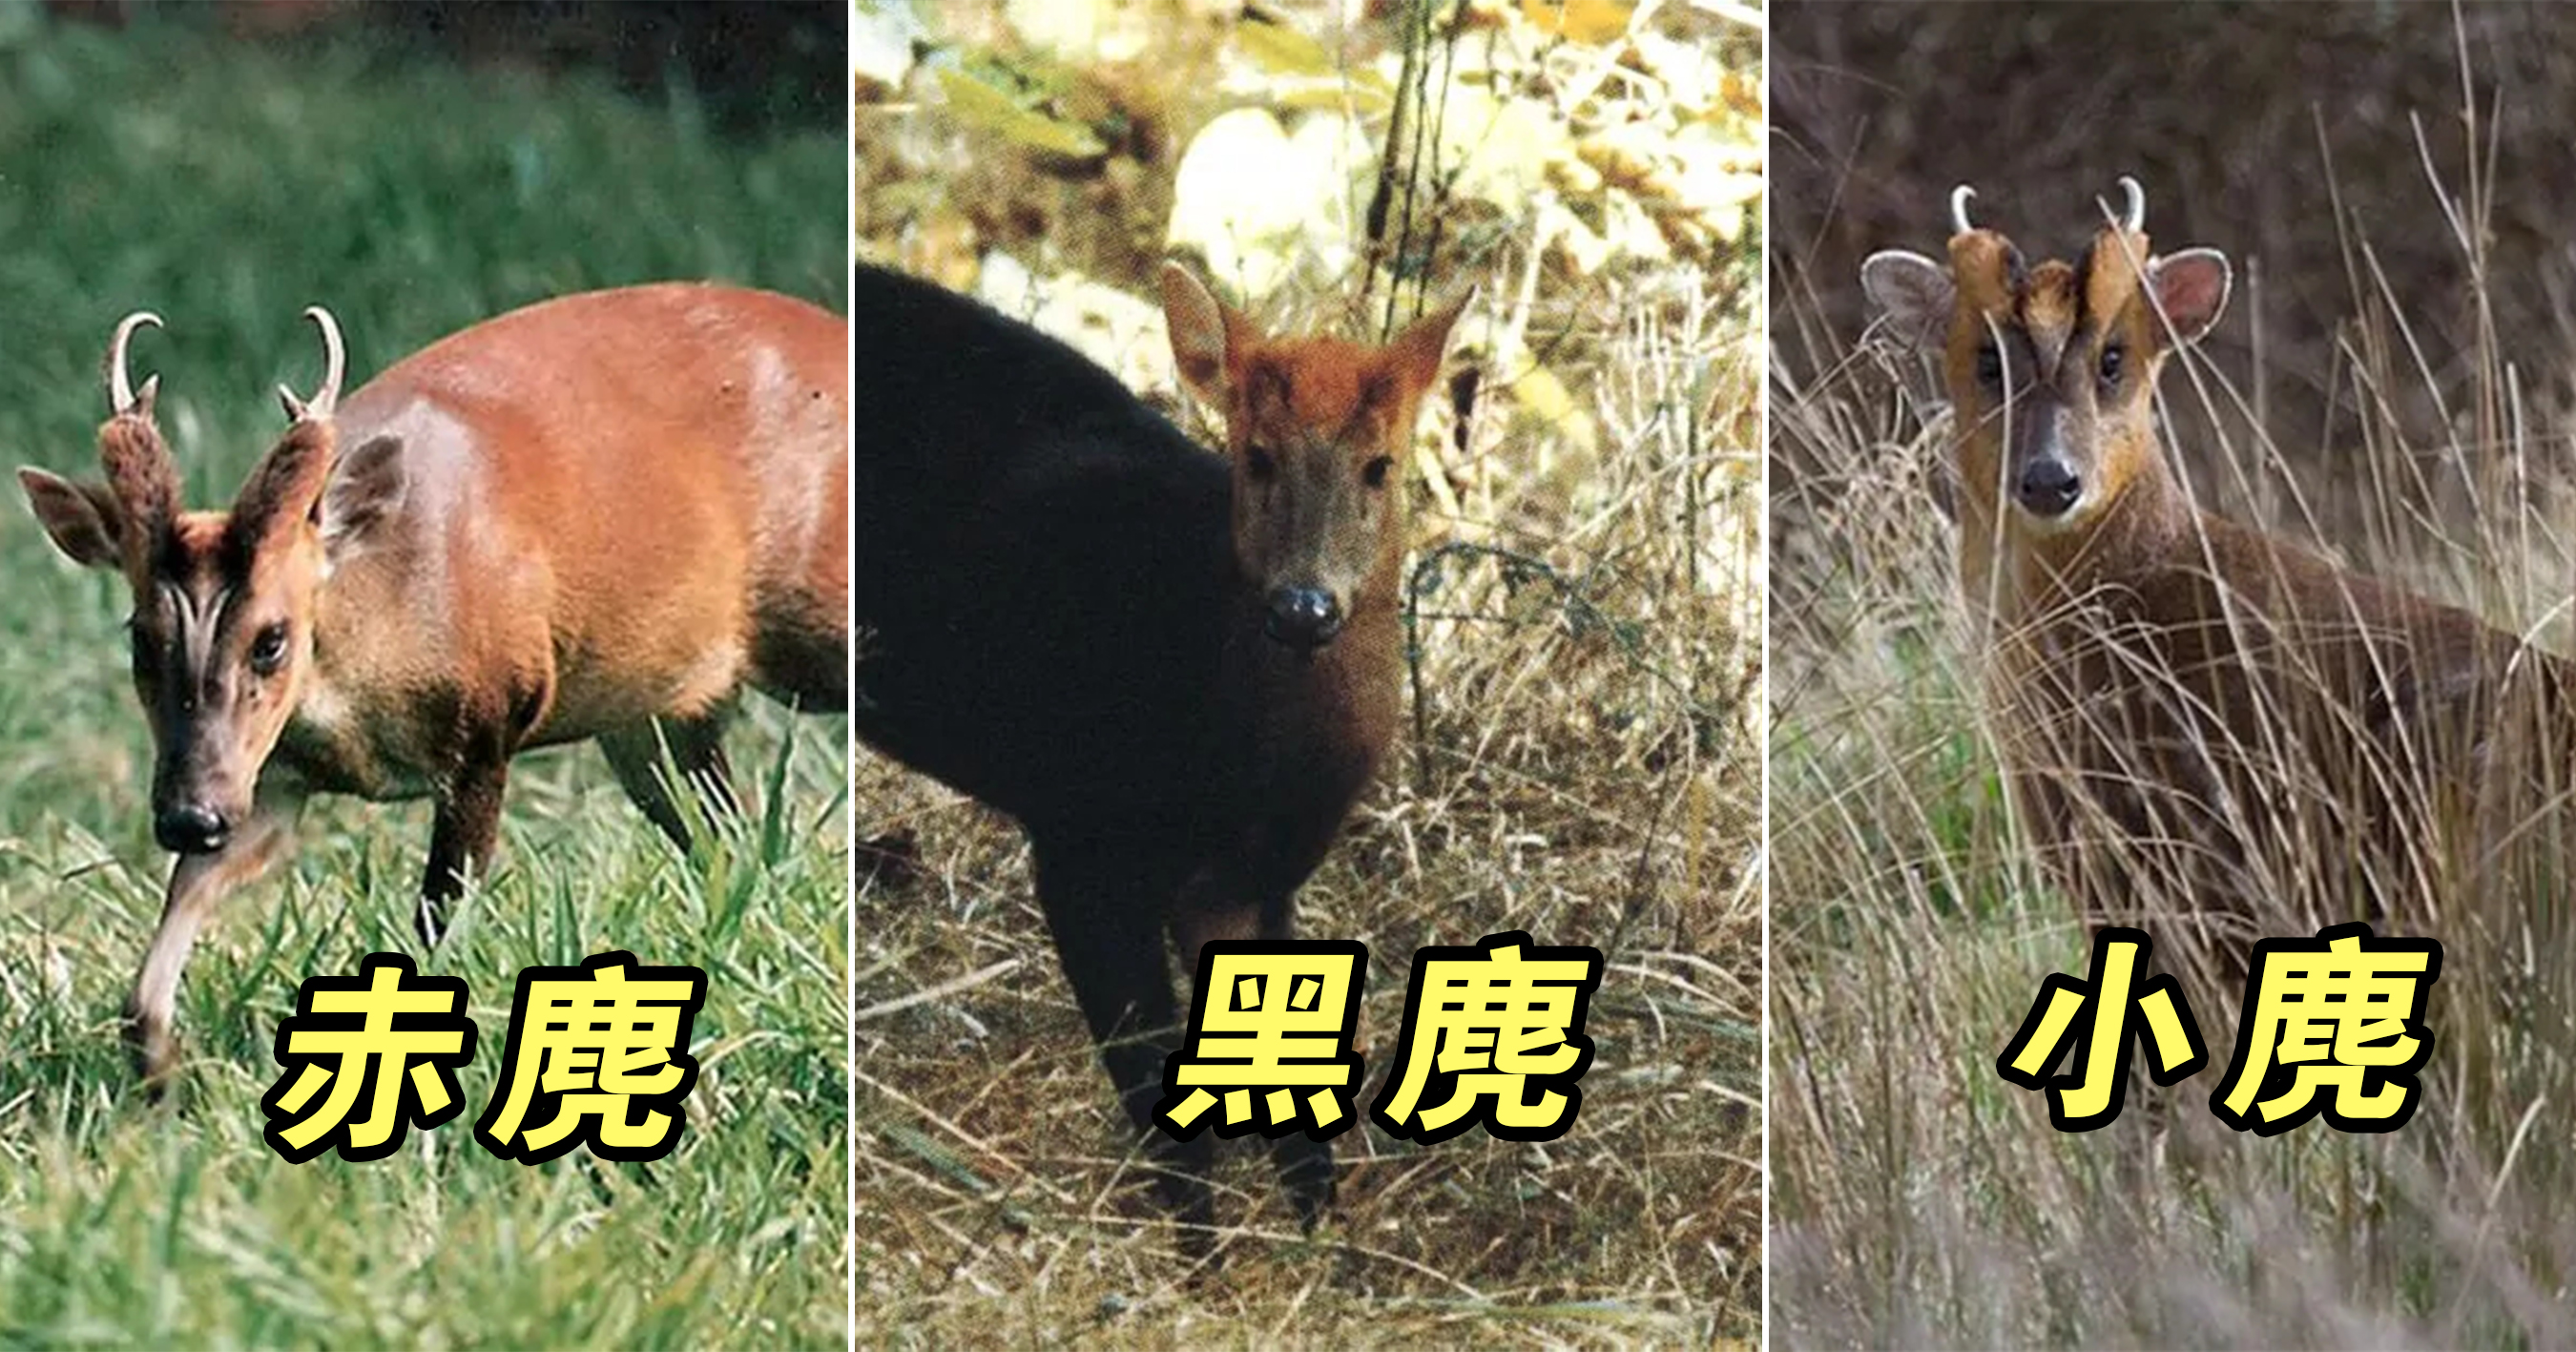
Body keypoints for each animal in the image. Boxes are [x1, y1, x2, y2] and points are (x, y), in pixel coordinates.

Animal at [20, 284, 849, 1087]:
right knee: (731, 841)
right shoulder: (274, 777)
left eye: (272, 639)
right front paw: (161, 1081)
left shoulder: (485, 731)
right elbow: (157, 965)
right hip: (652, 717)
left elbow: (437, 921)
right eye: (140, 636)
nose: (189, 815)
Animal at [850, 259, 1467, 1243]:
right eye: (1257, 457)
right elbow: (1152, 1083)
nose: (1303, 606)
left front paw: (1322, 1239)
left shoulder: (1256, 881)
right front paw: (1202, 1254)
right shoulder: (1081, 843)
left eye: (1382, 466)